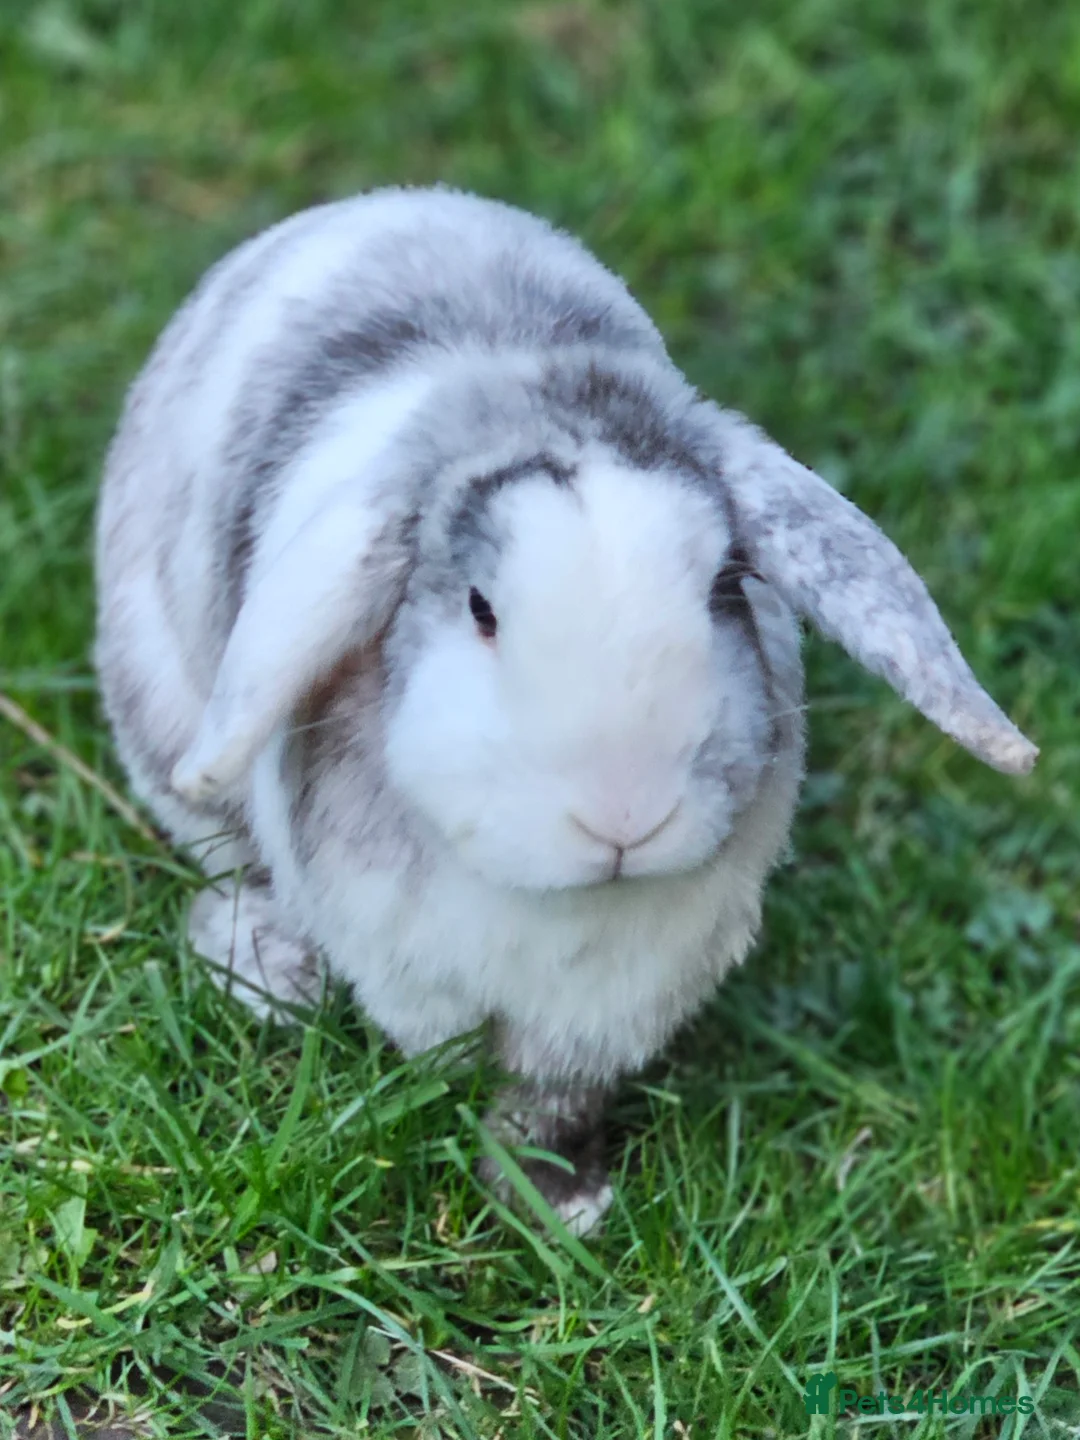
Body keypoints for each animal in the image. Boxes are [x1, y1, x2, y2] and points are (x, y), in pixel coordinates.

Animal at [95, 186, 1037, 1235]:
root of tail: (373, 204)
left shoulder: (614, 998)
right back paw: (271, 971)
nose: (624, 817)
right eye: (481, 610)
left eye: (724, 586)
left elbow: (550, 1099)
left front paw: (555, 1204)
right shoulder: (409, 957)